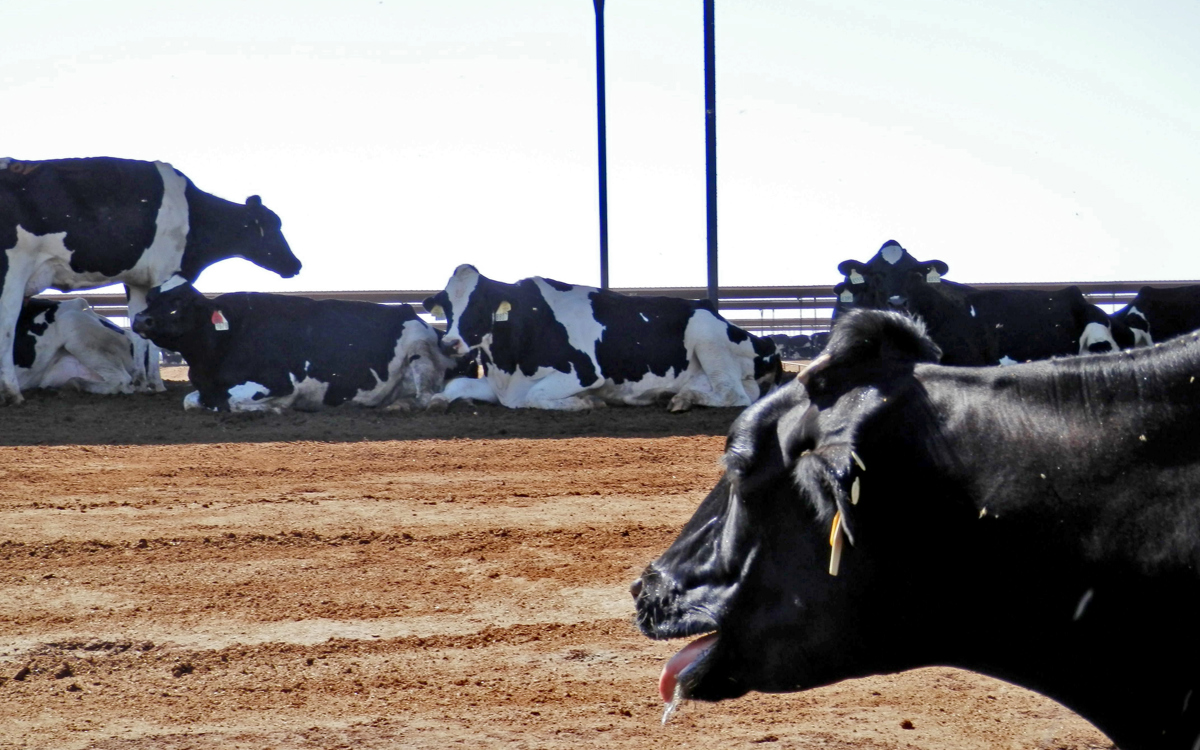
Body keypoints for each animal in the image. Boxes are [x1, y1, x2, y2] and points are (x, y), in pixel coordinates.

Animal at [0, 156, 302, 404]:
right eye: (274, 226)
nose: (295, 265)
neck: (193, 214)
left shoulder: (136, 281)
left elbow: (139, 326)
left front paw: (142, 382)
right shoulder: (164, 274)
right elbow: (152, 329)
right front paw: (155, 384)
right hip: (15, 269)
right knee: (8, 320)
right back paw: (11, 392)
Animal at [131, 276, 452, 412]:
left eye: (179, 302)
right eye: (151, 297)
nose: (141, 320)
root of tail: (407, 311)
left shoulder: (279, 384)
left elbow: (231, 402)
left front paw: (272, 409)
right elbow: (190, 401)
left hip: (420, 352)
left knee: (428, 397)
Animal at [422, 264, 782, 412]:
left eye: (479, 304)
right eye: (447, 307)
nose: (449, 343)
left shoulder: (584, 372)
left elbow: (534, 396)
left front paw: (586, 402)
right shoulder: (500, 383)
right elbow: (455, 385)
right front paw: (440, 400)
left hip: (706, 336)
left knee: (734, 395)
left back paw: (681, 400)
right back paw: (669, 395)